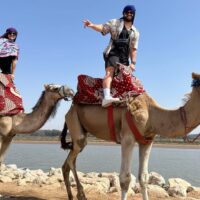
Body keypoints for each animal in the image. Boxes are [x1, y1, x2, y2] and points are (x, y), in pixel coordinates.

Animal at [60, 72, 200, 200]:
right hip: (75, 123)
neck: (152, 114)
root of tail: (70, 109)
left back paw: (72, 196)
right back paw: (81, 195)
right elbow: (125, 178)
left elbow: (144, 177)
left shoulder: (147, 141)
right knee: (72, 159)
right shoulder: (128, 138)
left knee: (67, 163)